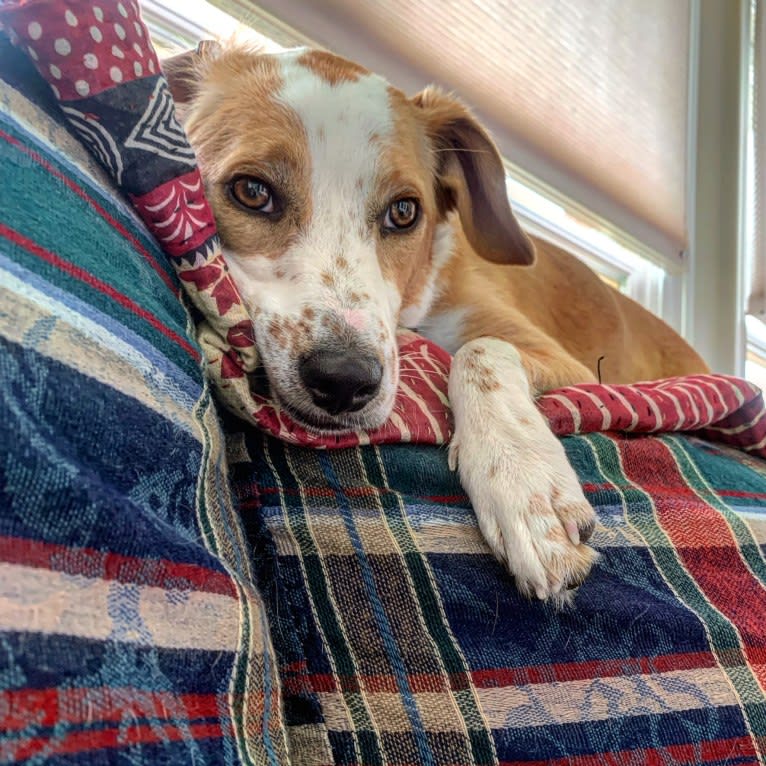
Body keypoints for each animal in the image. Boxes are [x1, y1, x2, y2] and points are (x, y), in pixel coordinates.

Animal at [165, 42, 712, 608]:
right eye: (252, 191)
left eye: (404, 211)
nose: (344, 381)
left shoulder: (563, 362)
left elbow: (479, 350)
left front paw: (523, 478)